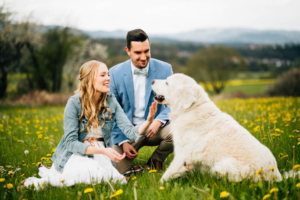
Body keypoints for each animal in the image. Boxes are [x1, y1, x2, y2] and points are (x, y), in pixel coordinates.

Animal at [152, 74, 284, 183]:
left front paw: (158, 186)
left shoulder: (182, 154)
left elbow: (167, 174)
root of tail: (276, 175)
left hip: (222, 165)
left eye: (167, 83)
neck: (190, 110)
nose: (152, 81)